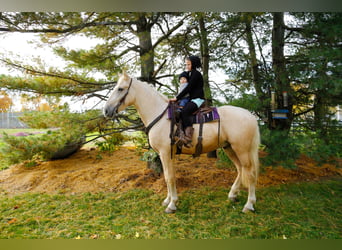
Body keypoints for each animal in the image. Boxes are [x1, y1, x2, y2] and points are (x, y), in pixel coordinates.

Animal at [103, 72, 260, 213]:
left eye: (120, 89)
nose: (106, 111)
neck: (160, 116)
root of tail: (250, 115)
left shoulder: (165, 152)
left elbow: (169, 177)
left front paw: (172, 205)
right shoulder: (167, 154)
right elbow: (169, 176)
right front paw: (168, 200)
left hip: (242, 149)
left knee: (250, 173)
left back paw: (249, 205)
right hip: (229, 148)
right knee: (240, 169)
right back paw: (233, 195)